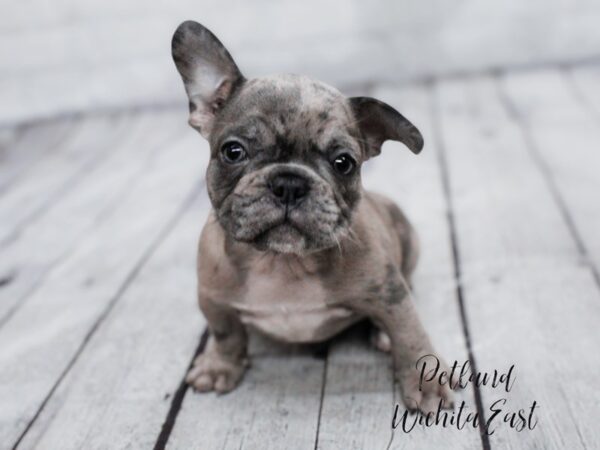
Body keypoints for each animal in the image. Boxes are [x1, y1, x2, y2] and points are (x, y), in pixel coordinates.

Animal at [171, 21, 452, 412]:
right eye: (233, 151)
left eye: (344, 162)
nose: (289, 183)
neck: (282, 263)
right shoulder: (214, 300)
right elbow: (226, 334)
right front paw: (219, 366)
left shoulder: (389, 292)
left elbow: (410, 335)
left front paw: (427, 385)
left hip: (408, 243)